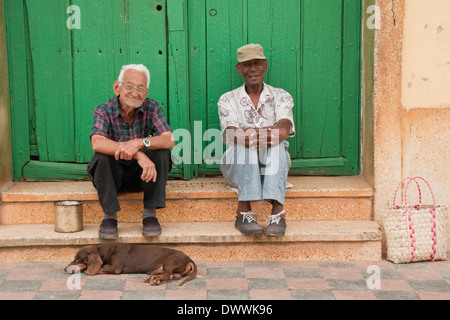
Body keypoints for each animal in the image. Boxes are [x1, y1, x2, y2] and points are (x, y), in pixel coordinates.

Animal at [64, 244, 197, 286]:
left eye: (77, 259)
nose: (64, 269)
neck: (104, 252)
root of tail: (188, 258)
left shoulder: (115, 267)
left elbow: (99, 268)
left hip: (169, 263)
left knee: (168, 275)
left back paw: (155, 280)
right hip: (160, 268)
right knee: (167, 275)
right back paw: (151, 278)